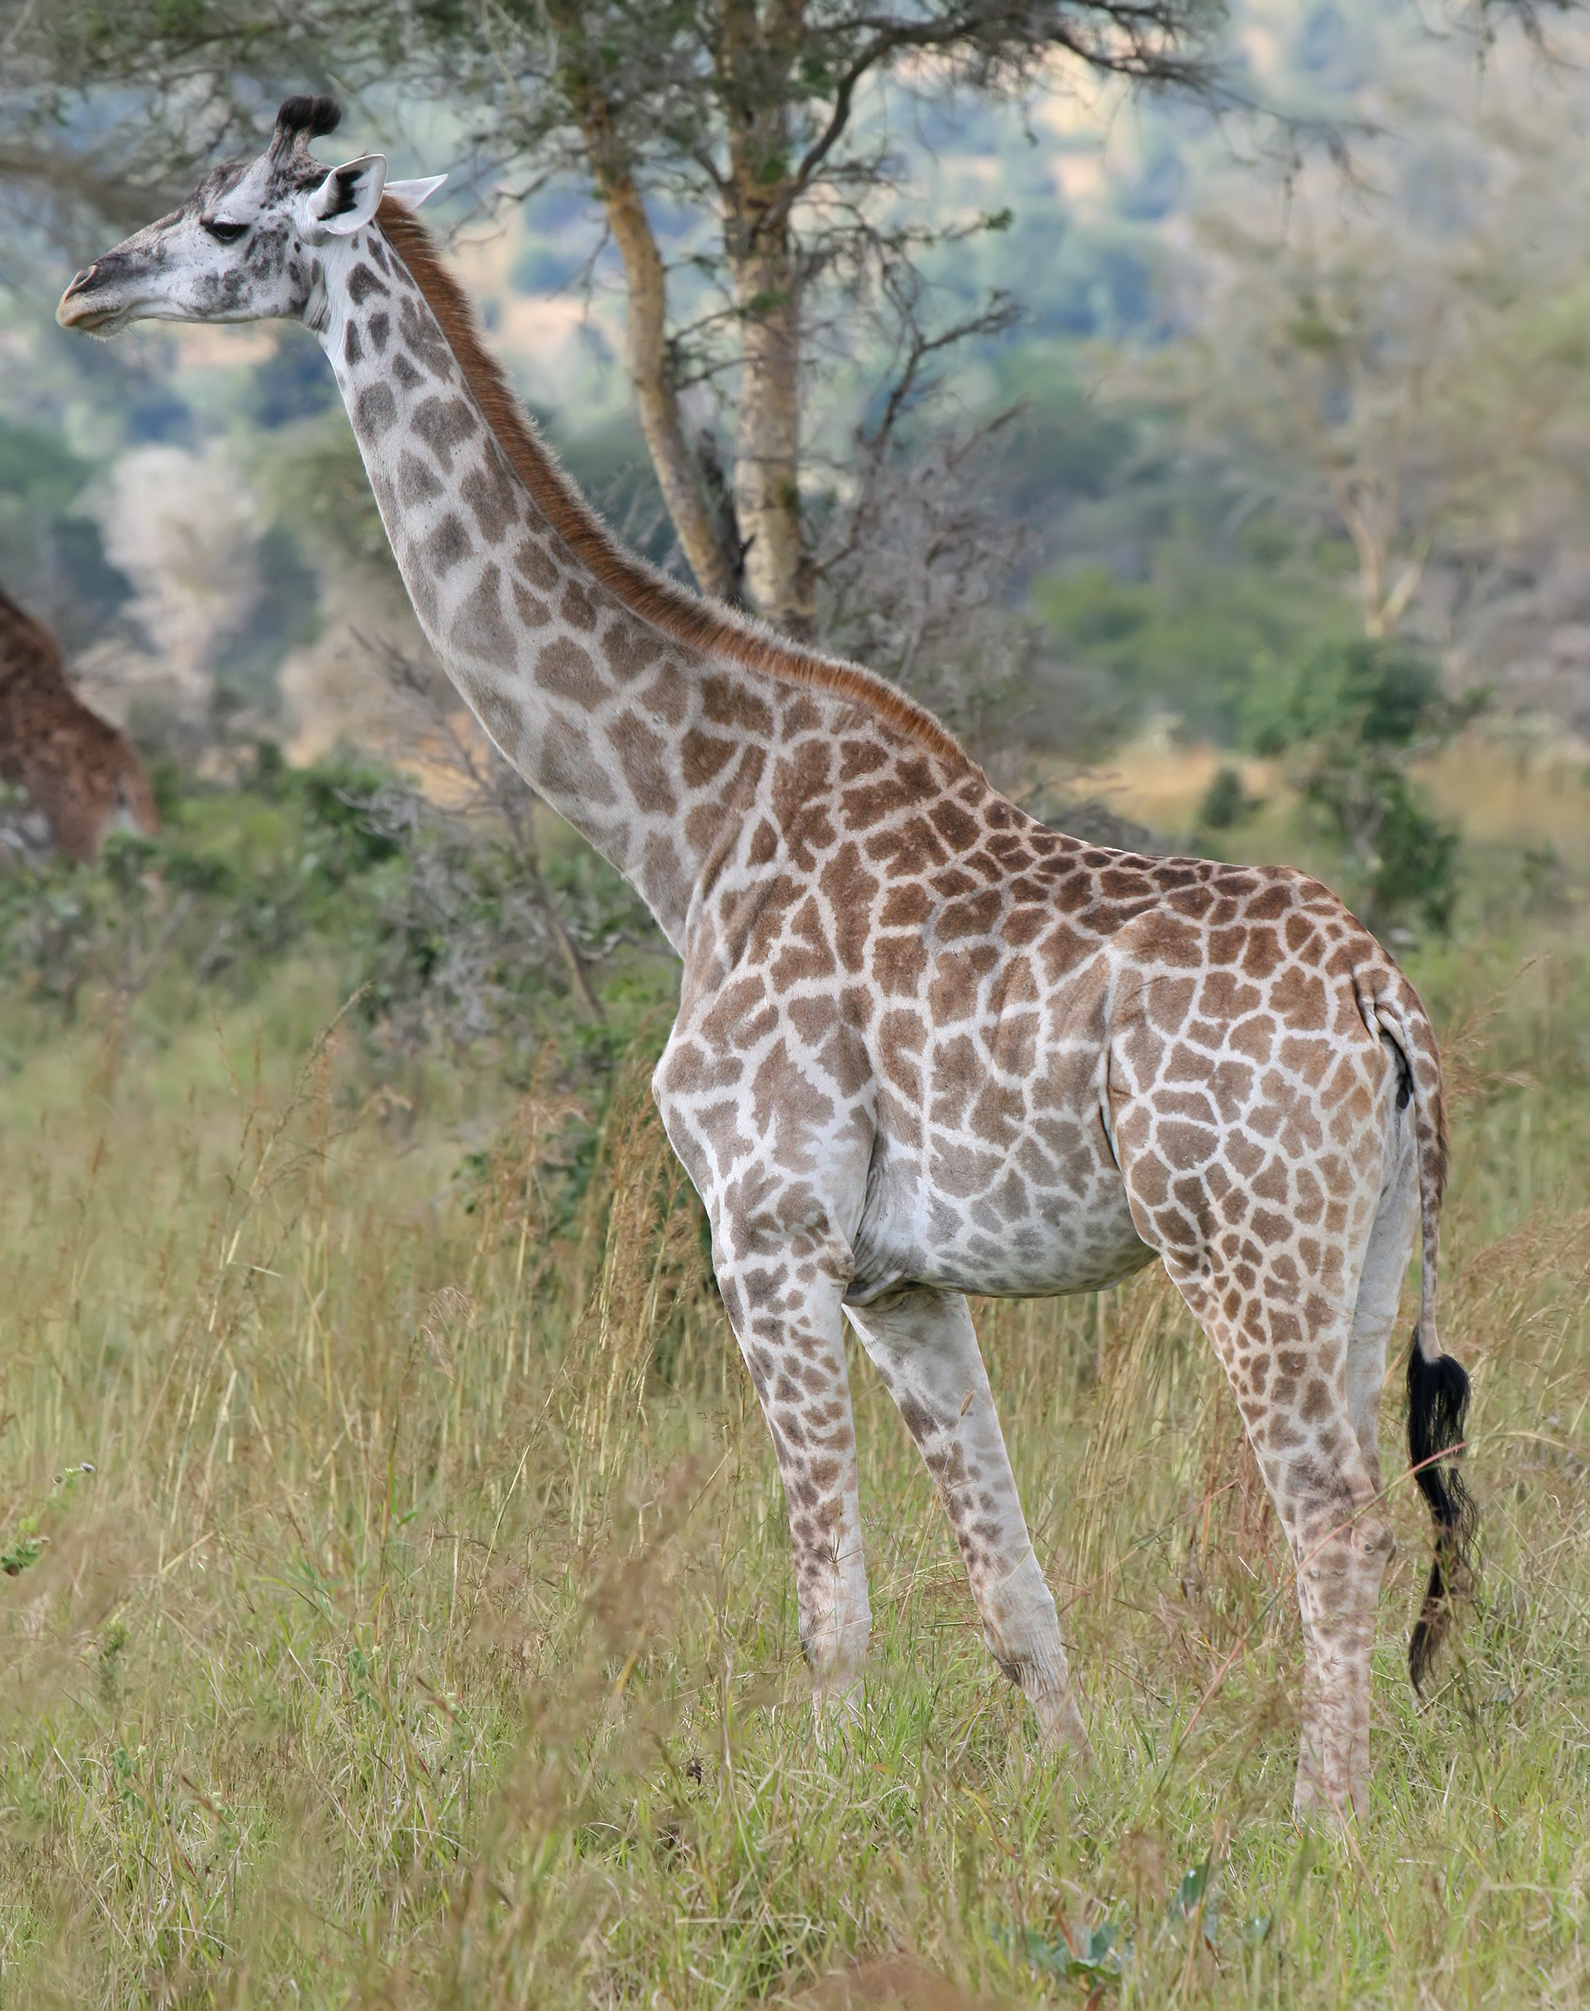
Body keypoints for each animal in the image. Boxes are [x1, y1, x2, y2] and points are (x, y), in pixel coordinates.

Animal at [58, 95, 1476, 1823]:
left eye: (219, 221)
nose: (84, 288)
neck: (683, 824)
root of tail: (1381, 998)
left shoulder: (763, 1225)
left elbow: (828, 1601)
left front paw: (810, 1826)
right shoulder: (901, 1275)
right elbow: (1010, 1589)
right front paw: (1070, 1807)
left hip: (1236, 1236)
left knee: (1332, 1517)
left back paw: (1320, 1829)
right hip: (1360, 1244)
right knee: (1367, 1506)